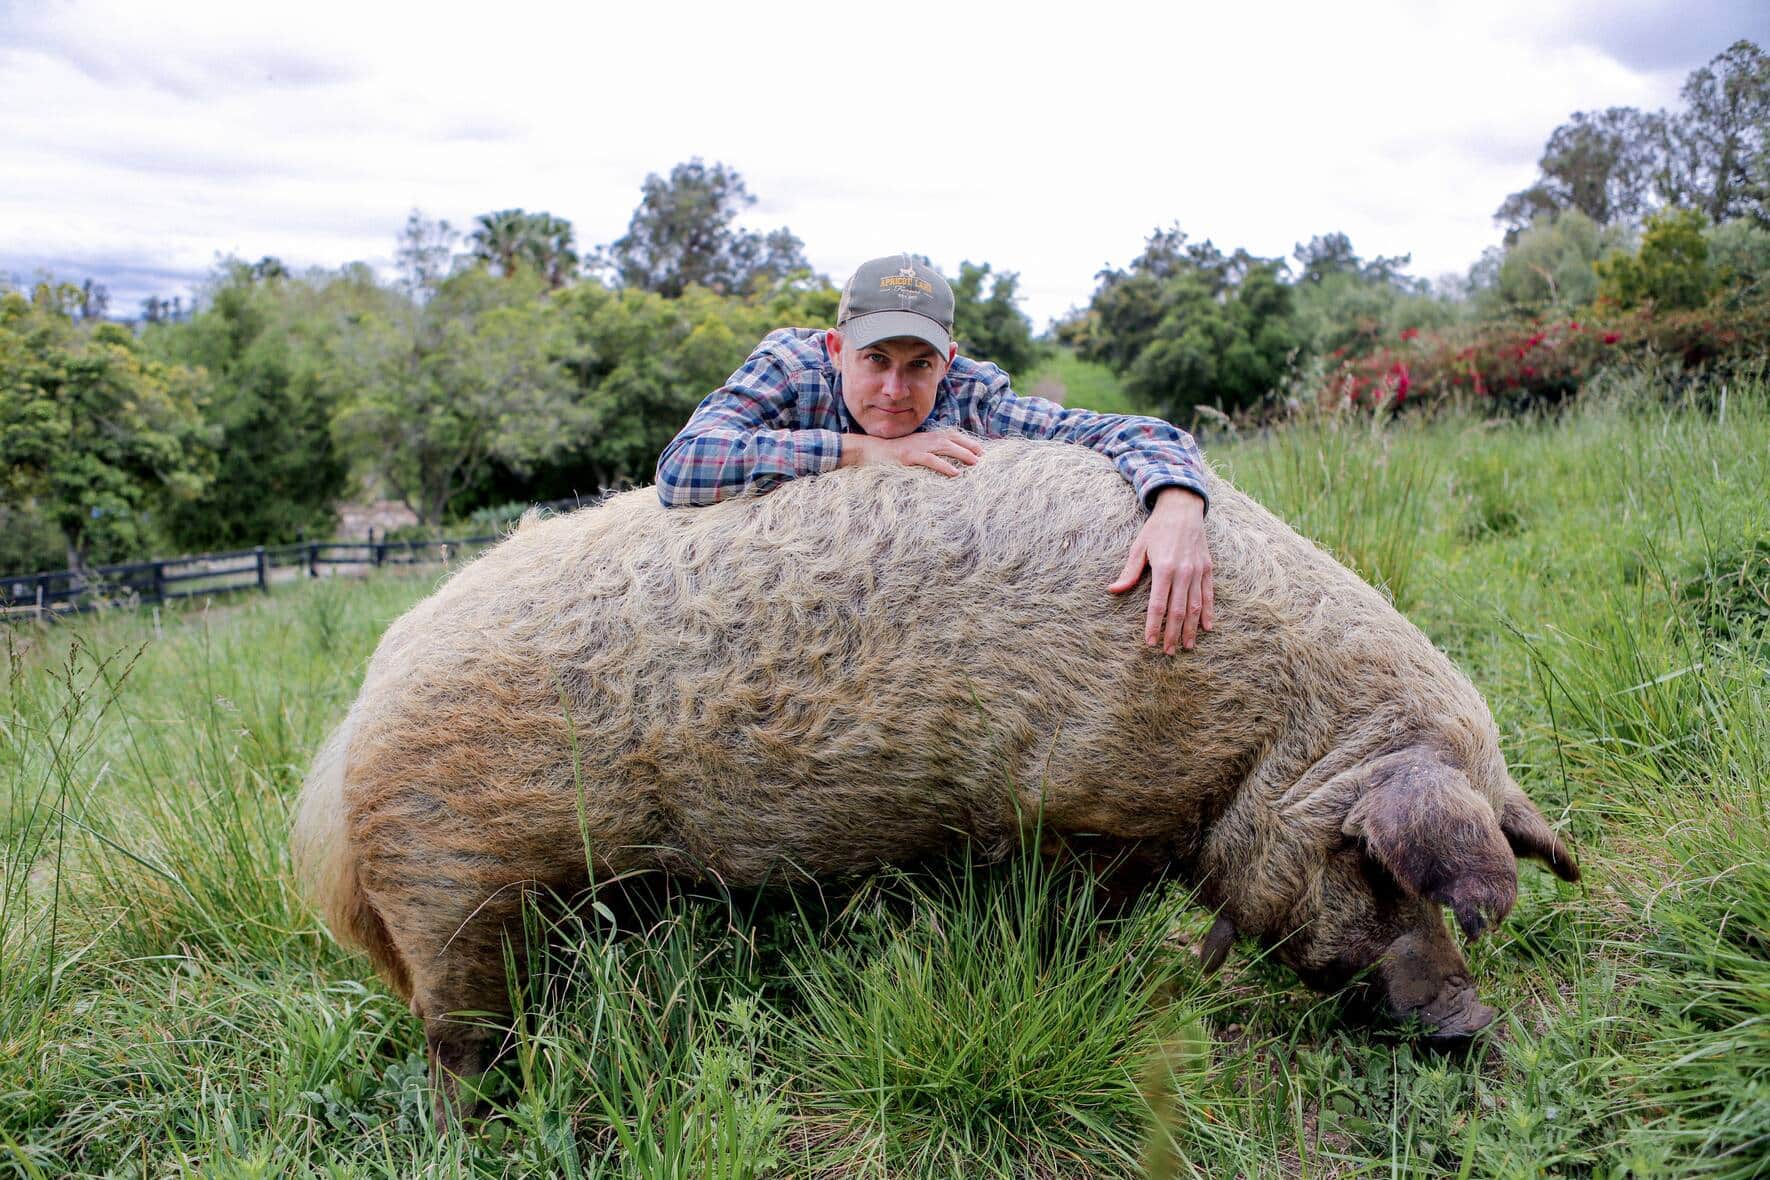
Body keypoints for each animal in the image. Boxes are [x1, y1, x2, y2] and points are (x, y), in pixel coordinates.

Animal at [292, 438, 1578, 1118]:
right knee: (456, 1031)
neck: (1260, 740)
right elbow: (1075, 915)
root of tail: (348, 731)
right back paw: (479, 1124)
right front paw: (1108, 979)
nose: (1471, 1019)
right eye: (1376, 865)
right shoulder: (1081, 805)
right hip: (455, 883)